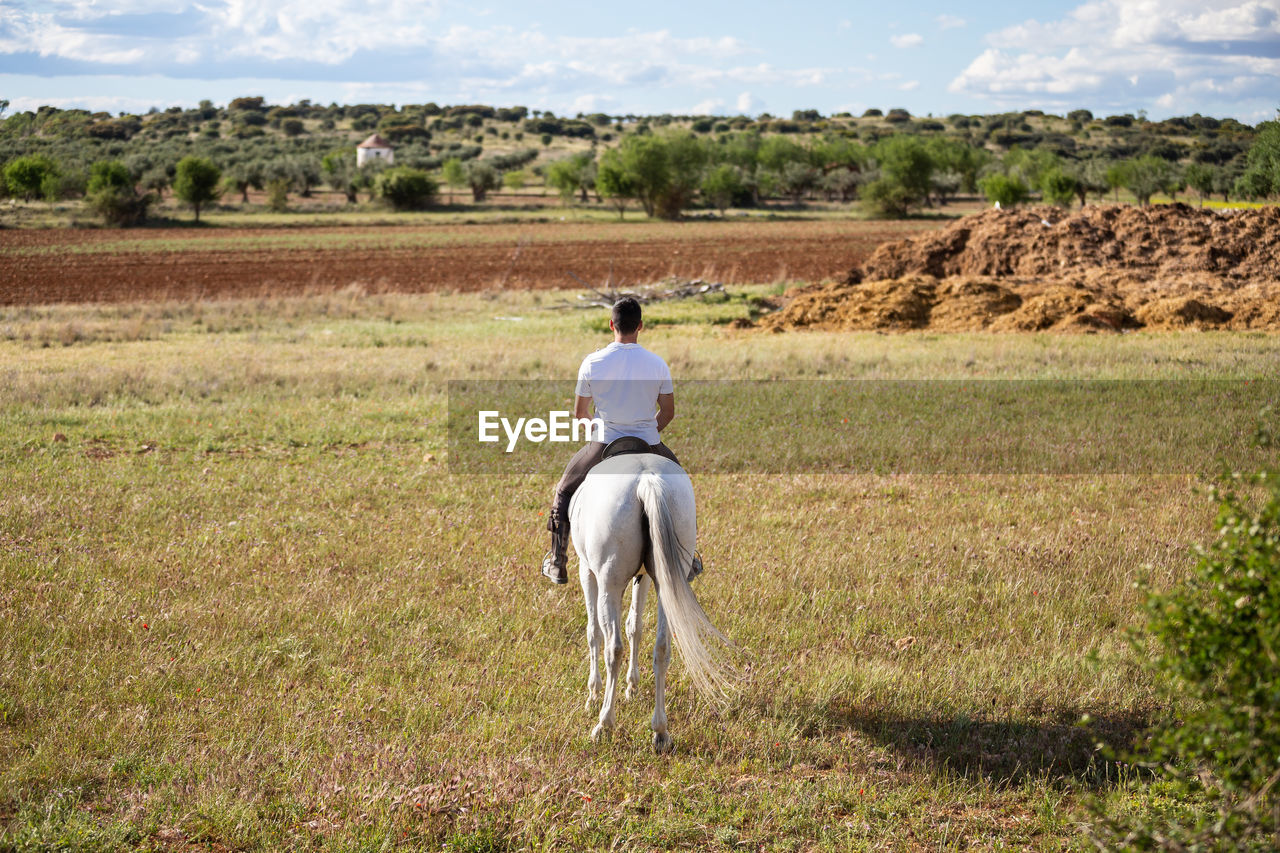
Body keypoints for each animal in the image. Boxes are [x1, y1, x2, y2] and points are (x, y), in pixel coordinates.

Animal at [568, 450, 737, 753]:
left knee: (613, 647)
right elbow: (635, 626)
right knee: (662, 648)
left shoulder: (586, 570)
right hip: (665, 582)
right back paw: (660, 731)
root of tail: (646, 479)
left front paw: (592, 694)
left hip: (609, 583)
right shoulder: (645, 575)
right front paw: (632, 687)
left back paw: (604, 724)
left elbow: (593, 633)